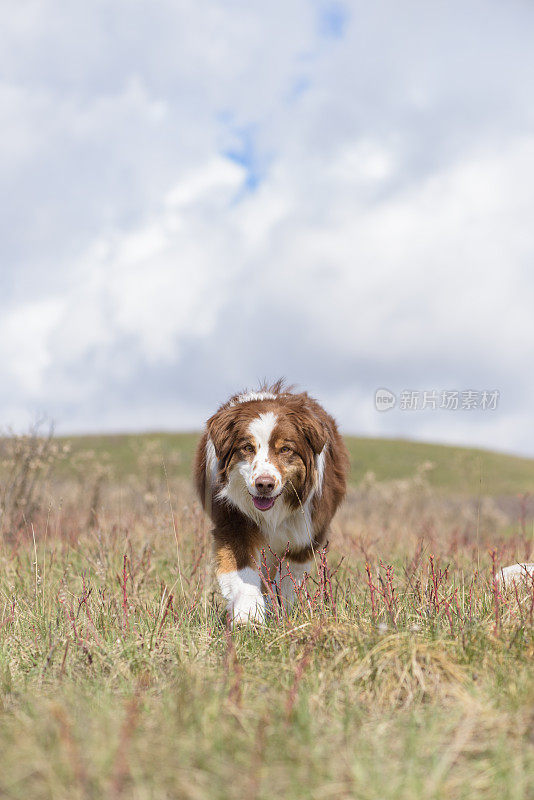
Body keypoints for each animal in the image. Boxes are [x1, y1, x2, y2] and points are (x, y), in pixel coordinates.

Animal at [195, 382, 350, 624]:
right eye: (247, 448)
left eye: (285, 449)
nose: (264, 484)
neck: (274, 513)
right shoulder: (233, 520)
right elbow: (243, 570)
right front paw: (248, 615)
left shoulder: (305, 532)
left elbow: (287, 578)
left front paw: (278, 610)